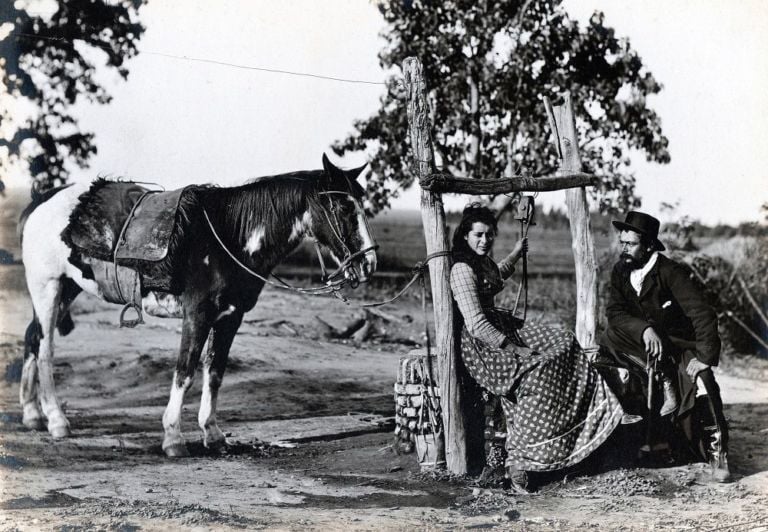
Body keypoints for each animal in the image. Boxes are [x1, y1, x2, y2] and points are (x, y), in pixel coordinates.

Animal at [18, 154, 378, 458]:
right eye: (342, 205)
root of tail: (41, 202)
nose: (368, 263)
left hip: (67, 289)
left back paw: (32, 414)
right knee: (46, 348)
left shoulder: (231, 317)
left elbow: (215, 372)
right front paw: (173, 438)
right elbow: (186, 371)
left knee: (32, 338)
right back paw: (56, 420)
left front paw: (213, 434)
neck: (229, 238)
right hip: (47, 287)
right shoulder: (197, 315)